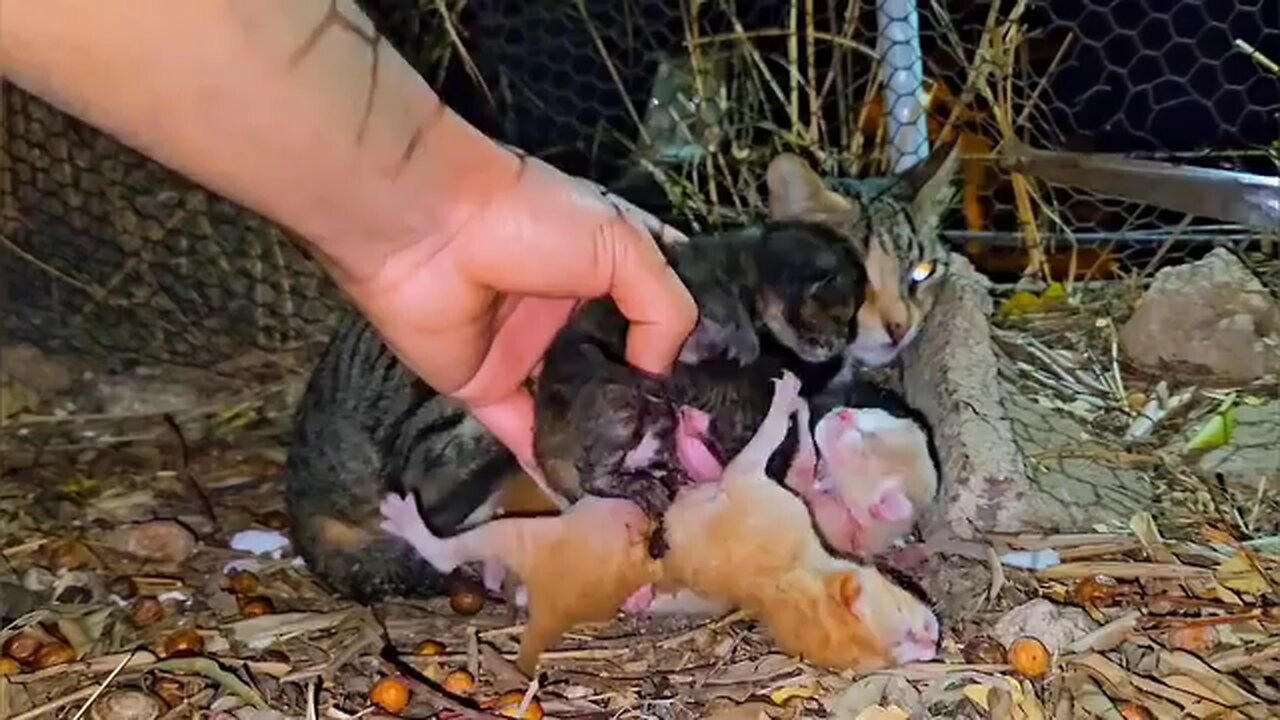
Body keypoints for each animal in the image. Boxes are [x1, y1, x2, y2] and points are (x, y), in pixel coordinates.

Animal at [373, 366, 936, 676]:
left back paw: (410, 521)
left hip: (529, 531)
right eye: (882, 422)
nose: (841, 414)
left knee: (450, 548)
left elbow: (740, 464)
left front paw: (781, 405)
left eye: (865, 443)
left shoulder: (757, 488)